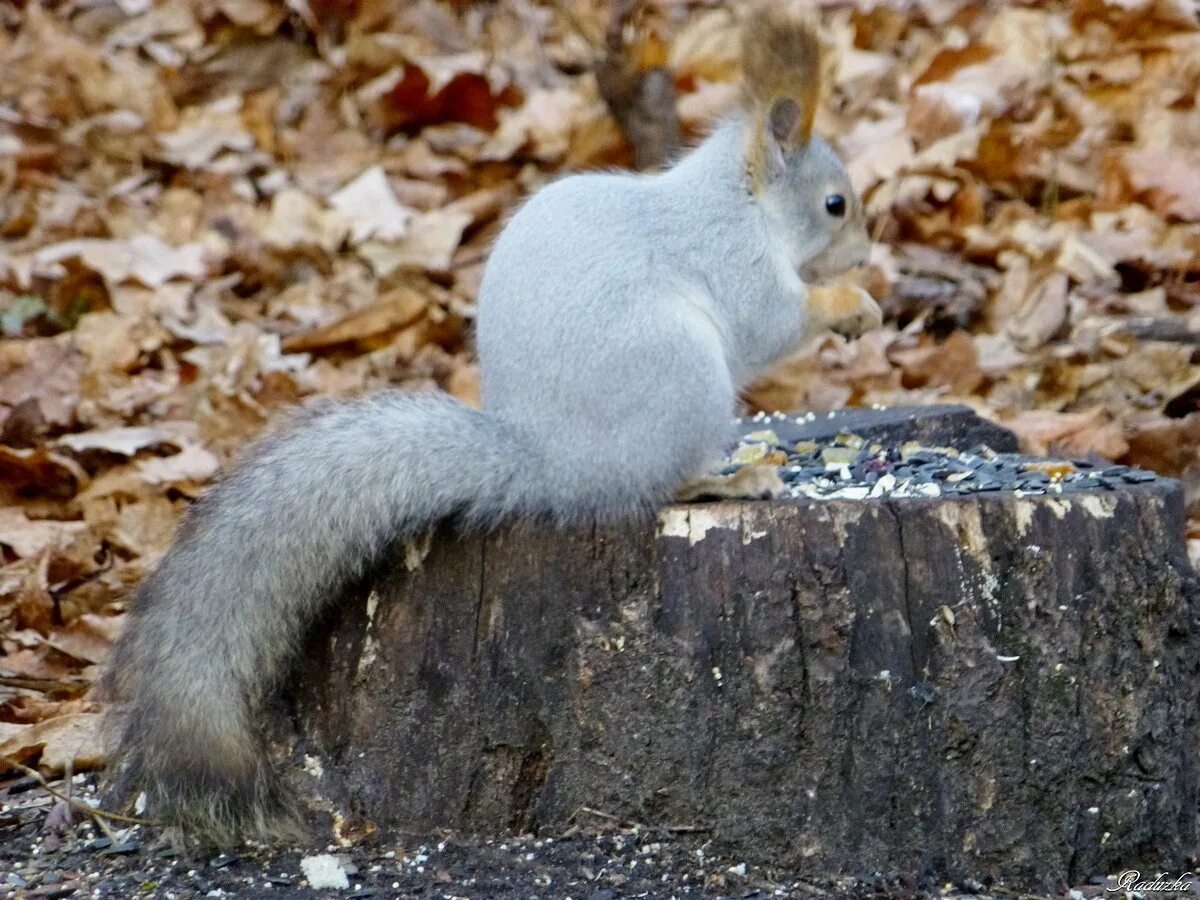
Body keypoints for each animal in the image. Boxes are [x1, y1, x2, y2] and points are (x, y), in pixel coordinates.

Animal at [100, 0, 883, 844]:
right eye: (835, 204)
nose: (867, 252)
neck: (740, 202)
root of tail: (548, 466)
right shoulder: (737, 267)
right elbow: (771, 325)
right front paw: (849, 306)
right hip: (682, 377)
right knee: (660, 484)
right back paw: (733, 475)